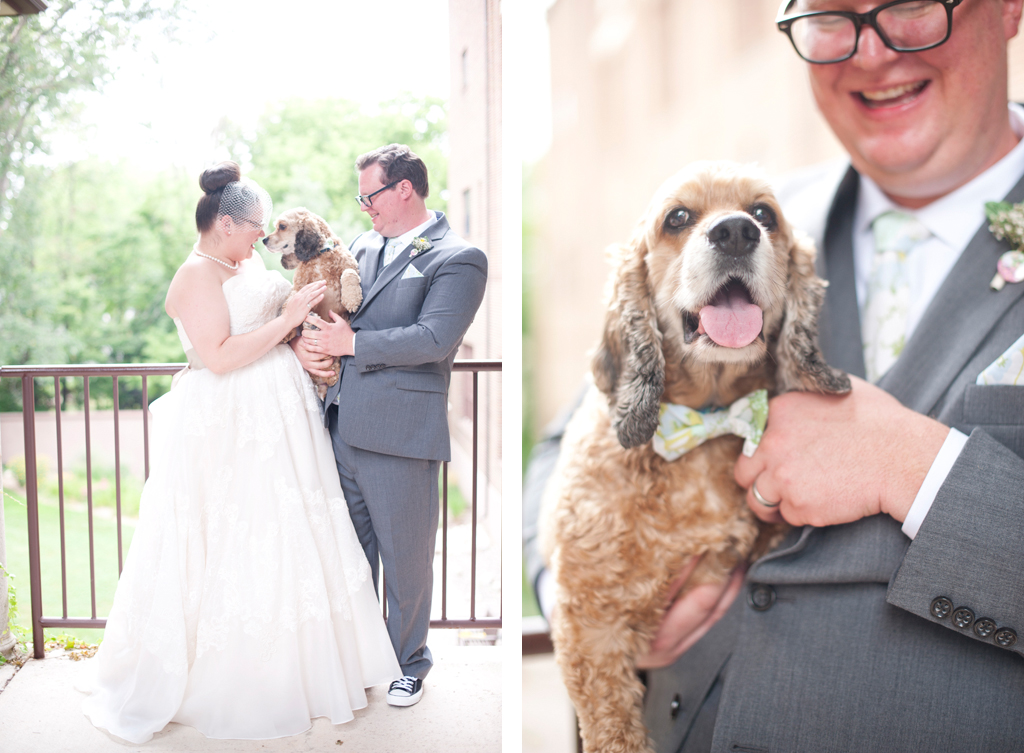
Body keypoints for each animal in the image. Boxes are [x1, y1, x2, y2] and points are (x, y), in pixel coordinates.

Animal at [264, 207, 364, 401]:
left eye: (282, 226)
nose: (264, 240)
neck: (320, 255)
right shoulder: (299, 288)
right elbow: (289, 303)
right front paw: (286, 331)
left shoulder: (350, 266)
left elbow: (348, 273)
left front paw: (352, 298)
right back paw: (312, 325)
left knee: (332, 373)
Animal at [540, 161, 851, 749]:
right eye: (678, 218)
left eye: (764, 214)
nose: (735, 233)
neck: (704, 422)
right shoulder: (591, 625)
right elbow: (614, 730)